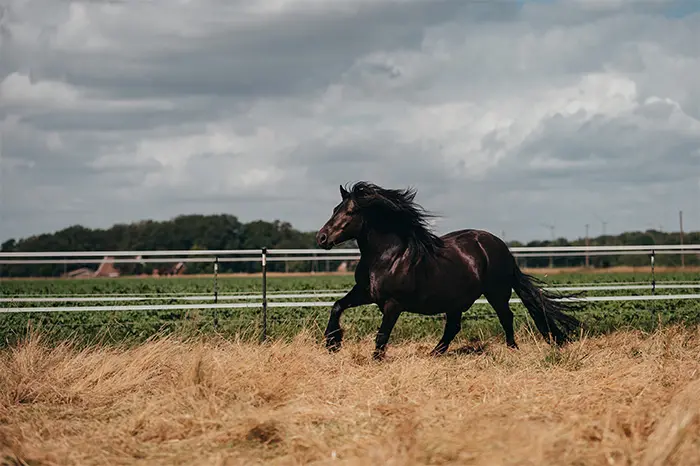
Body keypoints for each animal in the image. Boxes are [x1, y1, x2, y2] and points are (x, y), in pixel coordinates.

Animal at [315, 181, 583, 359]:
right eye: (335, 209)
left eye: (350, 211)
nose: (321, 237)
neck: (387, 257)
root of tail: (500, 246)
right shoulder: (365, 293)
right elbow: (337, 305)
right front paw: (332, 343)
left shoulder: (393, 303)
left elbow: (382, 334)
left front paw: (375, 359)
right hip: (456, 299)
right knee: (453, 326)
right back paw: (435, 353)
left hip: (496, 292)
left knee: (505, 317)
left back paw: (512, 349)